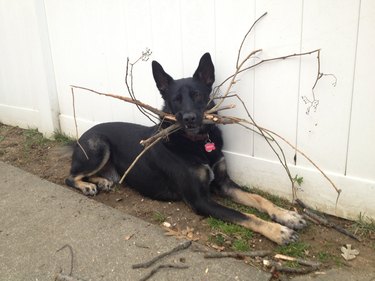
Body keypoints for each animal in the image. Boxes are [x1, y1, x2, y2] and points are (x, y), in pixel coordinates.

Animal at [66, 52, 306, 243]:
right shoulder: (201, 200)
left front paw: (287, 216)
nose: (190, 119)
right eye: (176, 99)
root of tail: (84, 135)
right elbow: (244, 215)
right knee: (70, 176)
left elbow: (259, 199)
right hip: (99, 145)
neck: (196, 143)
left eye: (197, 95)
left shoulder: (223, 183)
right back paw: (87, 186)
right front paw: (278, 231)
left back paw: (101, 181)